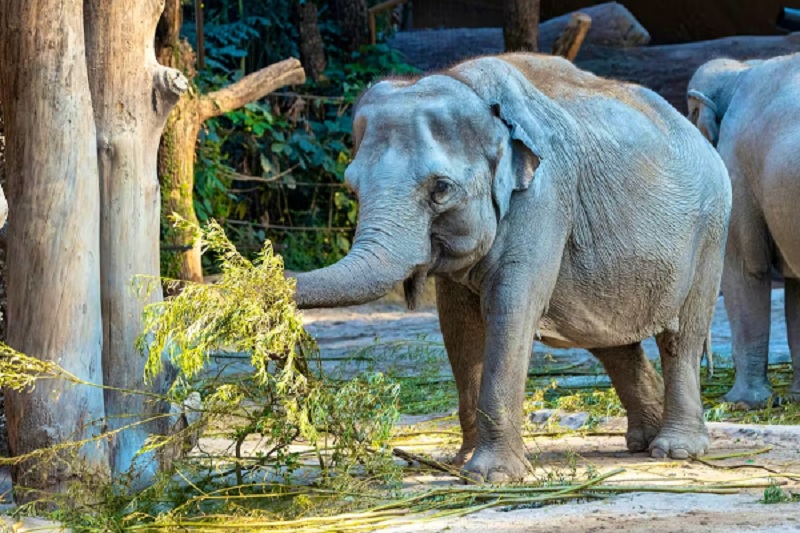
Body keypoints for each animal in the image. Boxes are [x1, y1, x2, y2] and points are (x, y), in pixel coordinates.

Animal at [292, 54, 732, 482]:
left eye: (441, 189)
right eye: (352, 187)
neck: (465, 84)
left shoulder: (543, 197)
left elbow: (510, 309)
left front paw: (494, 477)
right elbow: (458, 325)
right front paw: (463, 465)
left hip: (711, 230)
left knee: (682, 337)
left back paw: (675, 449)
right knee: (611, 341)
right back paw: (643, 441)